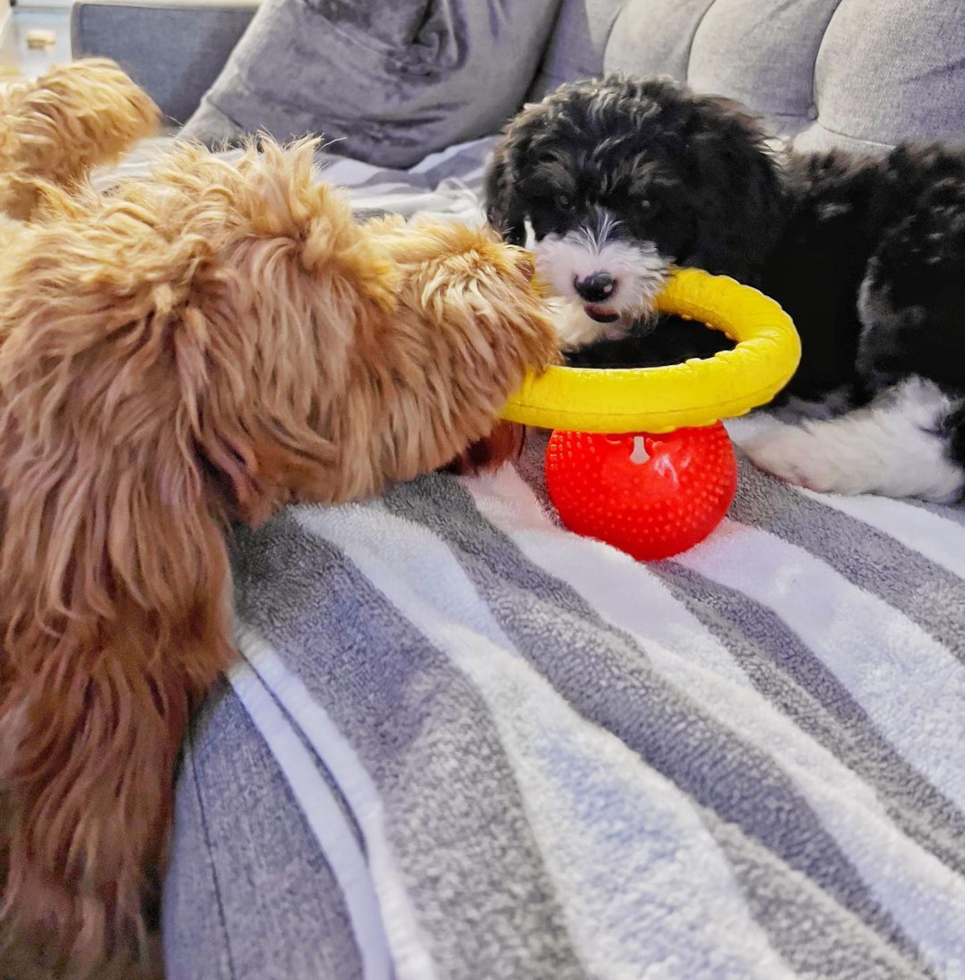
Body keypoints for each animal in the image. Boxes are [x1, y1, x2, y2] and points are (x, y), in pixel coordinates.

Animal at [486, 74, 964, 506]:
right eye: (562, 201)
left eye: (647, 204)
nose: (593, 285)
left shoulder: (695, 341)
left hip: (916, 267)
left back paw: (803, 454)